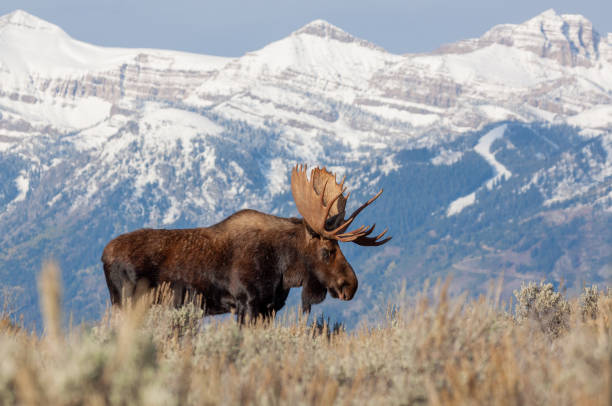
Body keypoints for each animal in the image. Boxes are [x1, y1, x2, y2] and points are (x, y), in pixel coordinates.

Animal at [102, 164, 390, 320]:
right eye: (327, 250)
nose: (350, 285)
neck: (284, 269)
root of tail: (103, 255)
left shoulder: (270, 308)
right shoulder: (248, 303)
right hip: (127, 303)